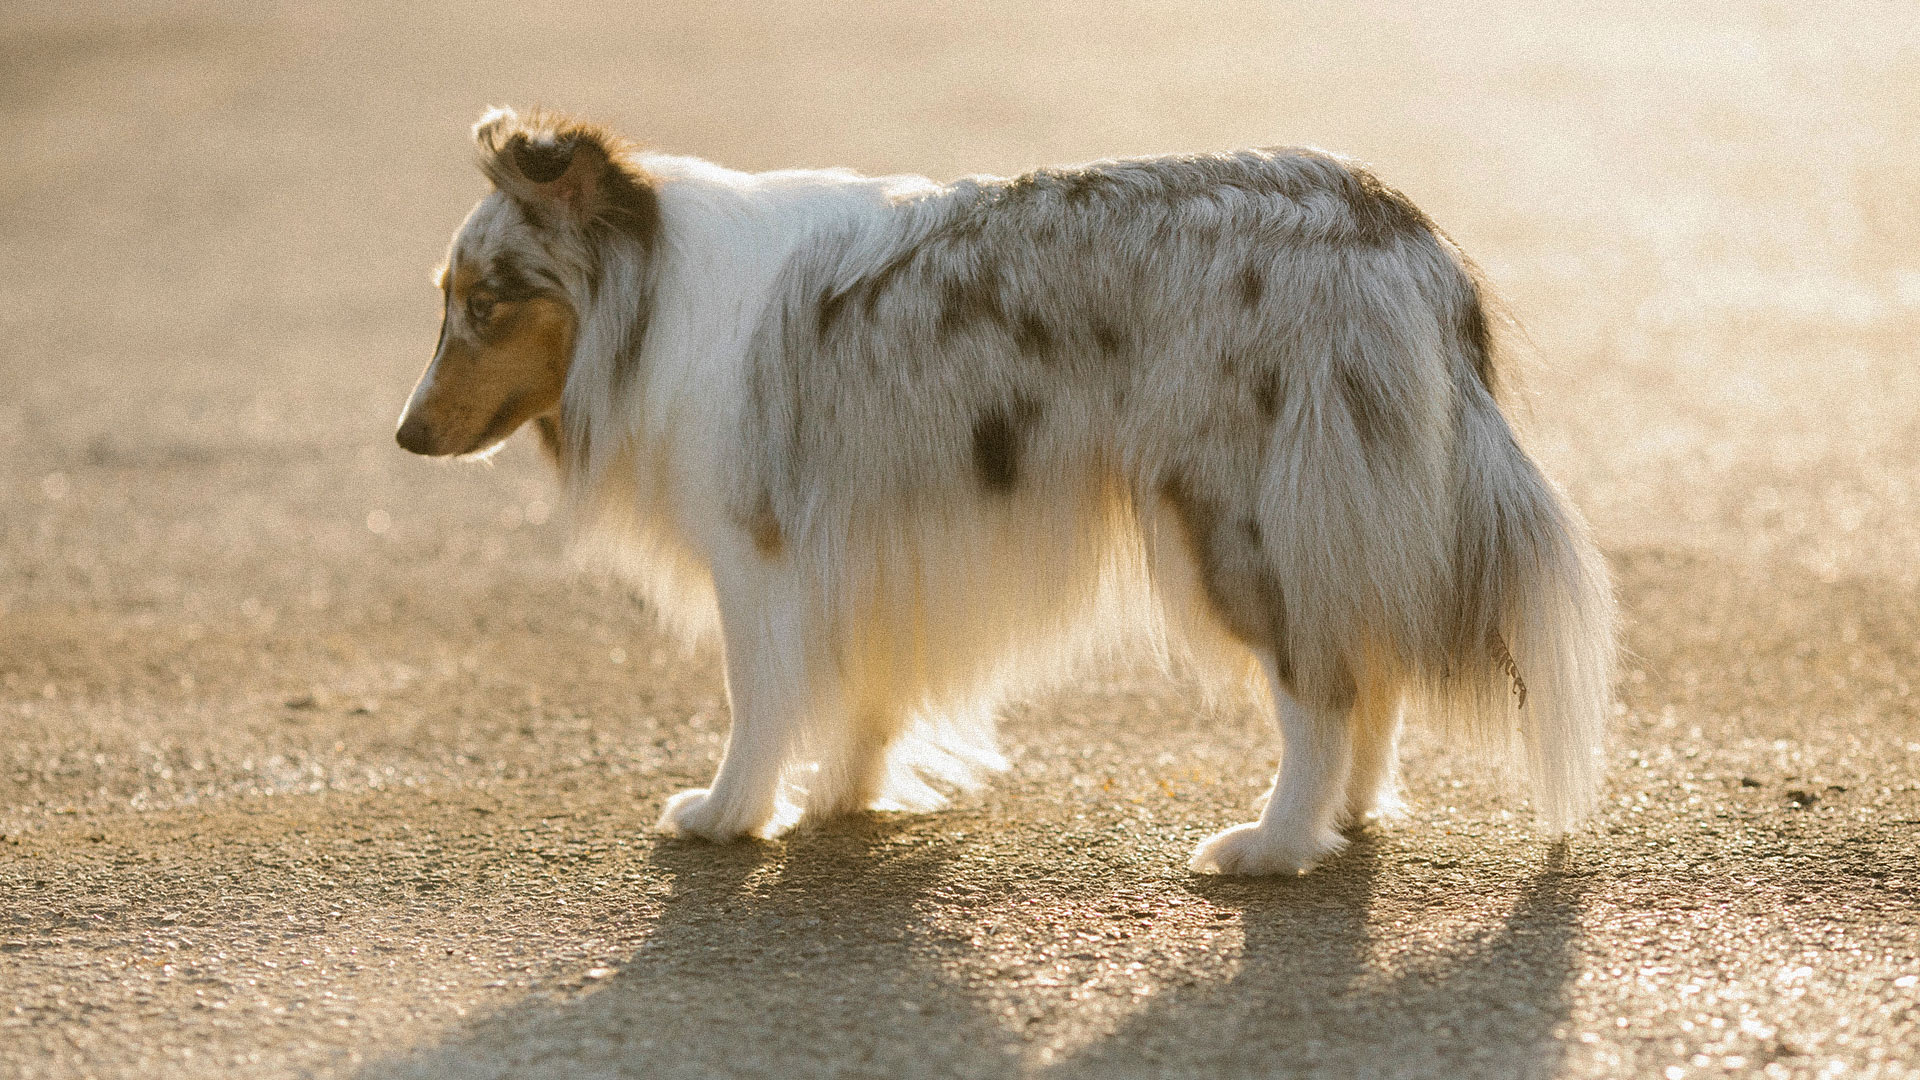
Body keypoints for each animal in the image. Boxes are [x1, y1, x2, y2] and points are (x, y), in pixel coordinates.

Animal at [397, 105, 1612, 868]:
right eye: (446, 297)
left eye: (488, 302)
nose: (404, 437)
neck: (651, 295)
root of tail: (1404, 234)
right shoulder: (875, 541)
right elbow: (868, 689)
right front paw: (849, 794)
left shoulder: (759, 551)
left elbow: (758, 697)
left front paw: (729, 813)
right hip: (1321, 514)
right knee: (1369, 662)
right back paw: (1348, 819)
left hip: (1240, 511)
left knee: (1322, 684)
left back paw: (1274, 844)